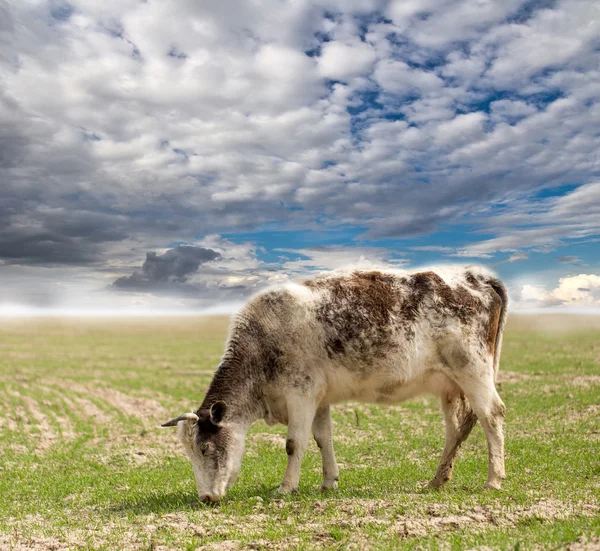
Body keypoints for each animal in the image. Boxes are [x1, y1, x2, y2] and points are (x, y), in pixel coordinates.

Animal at [163, 268, 506, 504]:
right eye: (190, 453)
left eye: (205, 448)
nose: (206, 497)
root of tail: (476, 276)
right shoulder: (319, 398)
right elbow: (322, 438)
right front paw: (329, 482)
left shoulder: (300, 393)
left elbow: (295, 443)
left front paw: (286, 488)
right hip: (449, 386)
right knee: (455, 428)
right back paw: (437, 479)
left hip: (473, 371)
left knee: (492, 415)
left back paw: (493, 480)